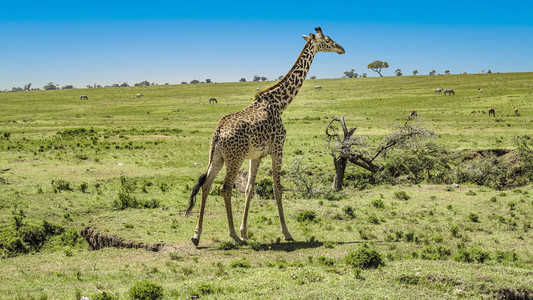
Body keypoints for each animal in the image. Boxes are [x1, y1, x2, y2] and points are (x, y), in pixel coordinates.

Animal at [187, 27, 344, 246]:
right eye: (328, 40)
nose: (342, 49)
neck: (280, 103)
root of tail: (217, 132)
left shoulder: (256, 156)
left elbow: (249, 189)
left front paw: (245, 231)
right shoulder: (278, 148)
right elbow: (277, 188)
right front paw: (286, 232)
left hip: (217, 157)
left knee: (206, 185)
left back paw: (197, 235)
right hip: (234, 158)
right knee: (224, 188)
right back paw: (233, 235)